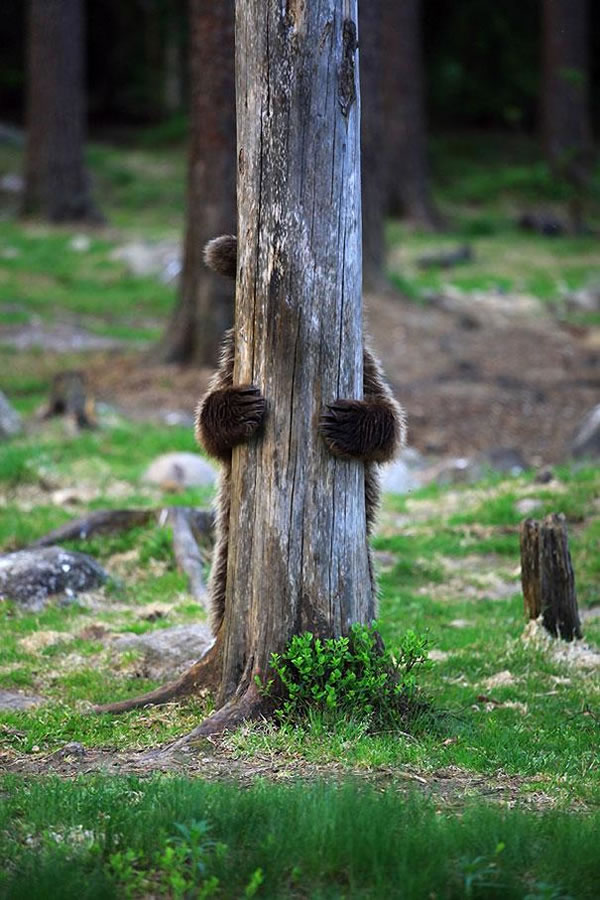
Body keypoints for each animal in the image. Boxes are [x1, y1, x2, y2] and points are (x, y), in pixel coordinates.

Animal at [195, 235, 406, 634]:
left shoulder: (365, 370)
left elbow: (389, 423)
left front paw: (346, 422)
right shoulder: (232, 367)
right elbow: (209, 429)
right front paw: (241, 408)